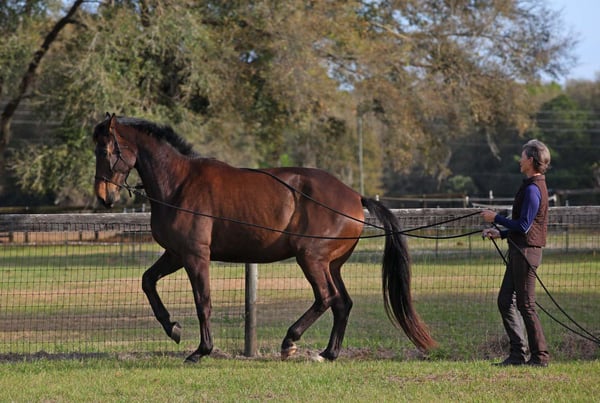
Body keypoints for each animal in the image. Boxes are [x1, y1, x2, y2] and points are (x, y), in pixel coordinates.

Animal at [92, 113, 436, 362]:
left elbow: (203, 302)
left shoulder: (195, 256)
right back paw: (328, 353)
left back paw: (290, 341)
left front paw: (201, 351)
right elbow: (147, 281)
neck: (179, 185)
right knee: (342, 303)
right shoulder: (176, 254)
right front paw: (172, 328)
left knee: (327, 298)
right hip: (331, 264)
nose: (104, 197)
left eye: (107, 151)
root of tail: (354, 196)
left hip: (311, 258)